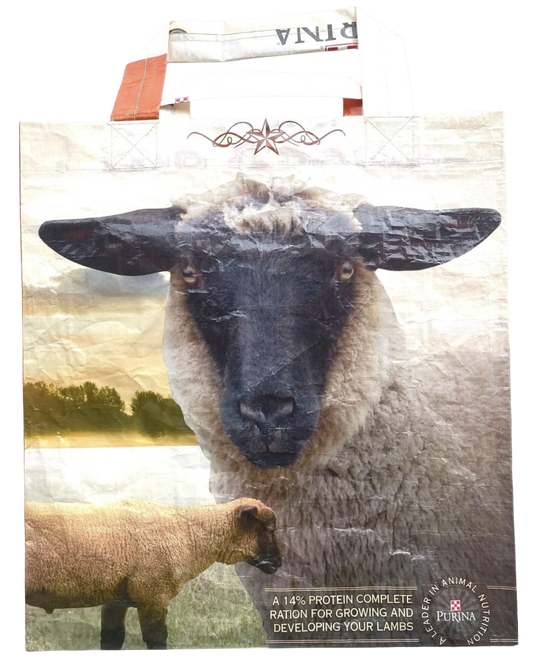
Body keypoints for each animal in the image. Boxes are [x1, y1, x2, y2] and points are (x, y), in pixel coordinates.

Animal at [25, 497, 281, 651]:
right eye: (269, 529)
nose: (279, 563)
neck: (190, 534)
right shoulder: (152, 593)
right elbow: (156, 637)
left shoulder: (117, 598)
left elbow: (112, 637)